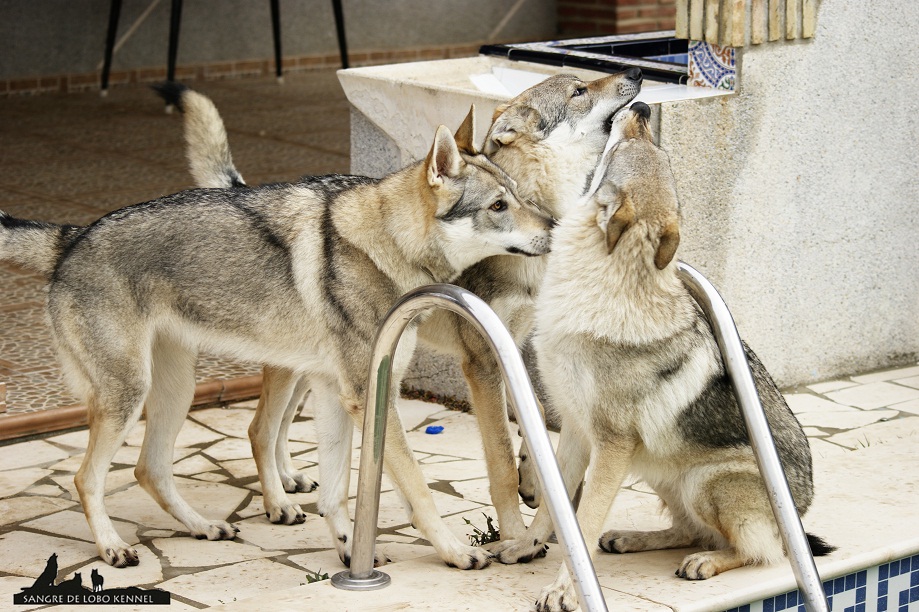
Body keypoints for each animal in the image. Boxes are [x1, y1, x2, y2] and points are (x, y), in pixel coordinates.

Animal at [0, 123, 552, 568]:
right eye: (498, 206)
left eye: (517, 195)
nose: (554, 228)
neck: (385, 244)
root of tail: (72, 237)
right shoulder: (373, 394)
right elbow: (417, 487)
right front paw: (456, 552)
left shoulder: (337, 394)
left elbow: (336, 491)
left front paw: (349, 550)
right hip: (130, 396)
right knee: (86, 478)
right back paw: (113, 547)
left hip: (179, 392)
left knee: (149, 468)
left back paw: (203, 526)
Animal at [158, 67, 644, 560]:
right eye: (579, 90)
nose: (637, 74)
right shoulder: (481, 360)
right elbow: (500, 461)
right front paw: (512, 534)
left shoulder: (516, 344)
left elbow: (537, 416)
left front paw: (533, 480)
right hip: (292, 368)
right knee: (259, 428)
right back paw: (277, 502)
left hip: (312, 369)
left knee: (279, 429)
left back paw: (291, 478)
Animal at [488, 103, 832, 608]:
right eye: (647, 145)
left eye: (633, 147)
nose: (643, 107)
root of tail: (802, 509)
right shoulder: (575, 429)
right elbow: (556, 511)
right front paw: (527, 547)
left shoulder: (610, 446)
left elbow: (582, 523)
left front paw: (564, 592)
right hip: (658, 471)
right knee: (690, 530)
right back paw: (632, 539)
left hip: (700, 482)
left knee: (758, 551)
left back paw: (704, 563)